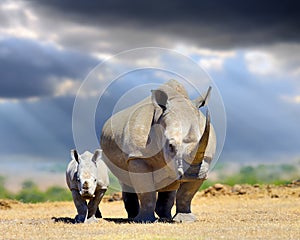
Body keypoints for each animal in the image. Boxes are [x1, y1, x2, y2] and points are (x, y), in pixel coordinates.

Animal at [101, 79, 216, 222]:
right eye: (170, 145)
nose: (192, 174)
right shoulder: (137, 156)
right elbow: (146, 191)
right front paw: (144, 221)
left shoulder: (205, 160)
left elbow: (186, 193)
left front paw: (185, 219)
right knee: (125, 179)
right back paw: (133, 218)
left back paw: (165, 218)